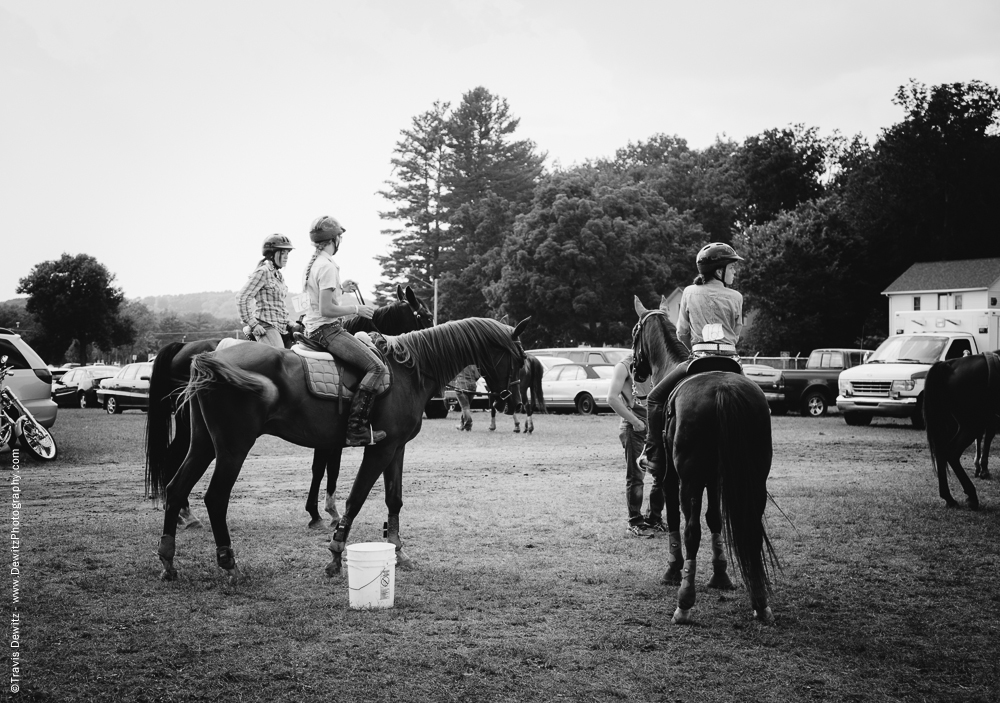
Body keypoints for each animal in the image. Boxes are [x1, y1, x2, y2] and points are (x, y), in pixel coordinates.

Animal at [146, 282, 434, 528]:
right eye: (427, 316)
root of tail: (184, 347)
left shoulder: (329, 435)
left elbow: (323, 469)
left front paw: (321, 512)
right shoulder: (333, 434)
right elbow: (325, 469)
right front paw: (322, 513)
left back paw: (182, 513)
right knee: (174, 457)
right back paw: (185, 514)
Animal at [151, 320, 528, 584]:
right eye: (519, 358)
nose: (509, 401)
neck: (407, 372)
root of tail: (210, 354)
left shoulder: (396, 449)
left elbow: (394, 500)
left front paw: (399, 552)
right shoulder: (379, 450)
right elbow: (355, 499)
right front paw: (334, 555)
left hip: (203, 444)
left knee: (175, 487)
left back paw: (168, 560)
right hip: (233, 447)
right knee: (215, 497)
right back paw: (229, 565)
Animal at [628, 296, 776, 628]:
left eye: (634, 332)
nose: (634, 369)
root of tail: (724, 390)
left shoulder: (672, 479)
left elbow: (675, 521)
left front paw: (673, 571)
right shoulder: (716, 479)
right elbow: (715, 520)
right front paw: (721, 575)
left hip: (690, 479)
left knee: (691, 531)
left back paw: (684, 603)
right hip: (754, 477)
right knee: (750, 528)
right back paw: (760, 602)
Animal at [920, 350, 1000, 506]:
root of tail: (949, 364)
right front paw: (982, 469)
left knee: (941, 452)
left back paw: (949, 497)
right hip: (971, 424)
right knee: (951, 452)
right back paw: (971, 495)